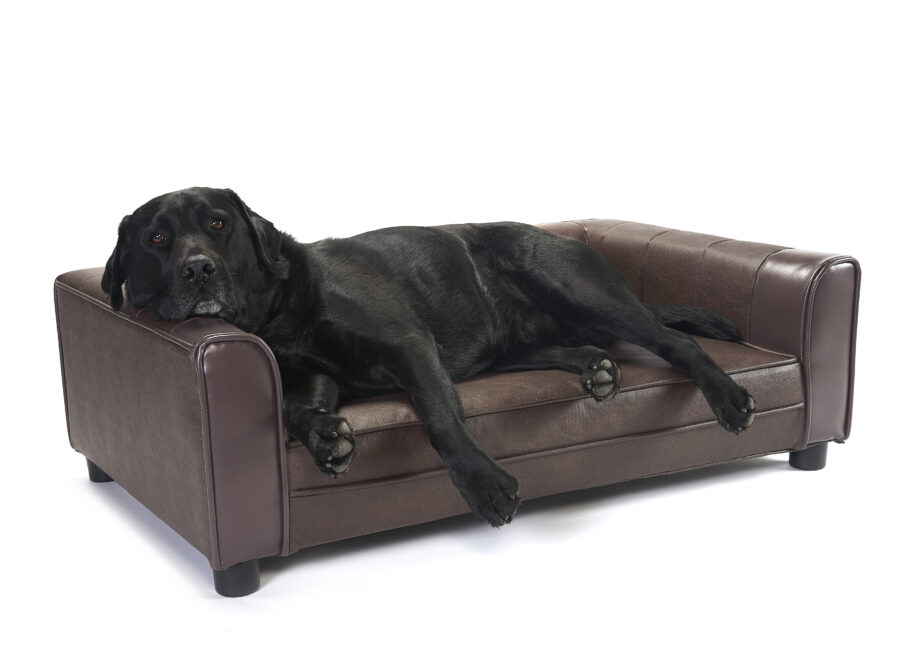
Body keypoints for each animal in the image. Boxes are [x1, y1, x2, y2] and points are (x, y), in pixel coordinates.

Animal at [102, 188, 756, 528]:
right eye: (156, 239)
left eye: (218, 225)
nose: (198, 268)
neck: (276, 319)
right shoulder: (314, 376)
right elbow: (296, 409)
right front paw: (327, 439)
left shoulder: (407, 346)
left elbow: (440, 419)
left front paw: (486, 486)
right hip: (513, 337)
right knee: (569, 346)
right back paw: (593, 369)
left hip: (567, 282)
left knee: (674, 341)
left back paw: (728, 398)